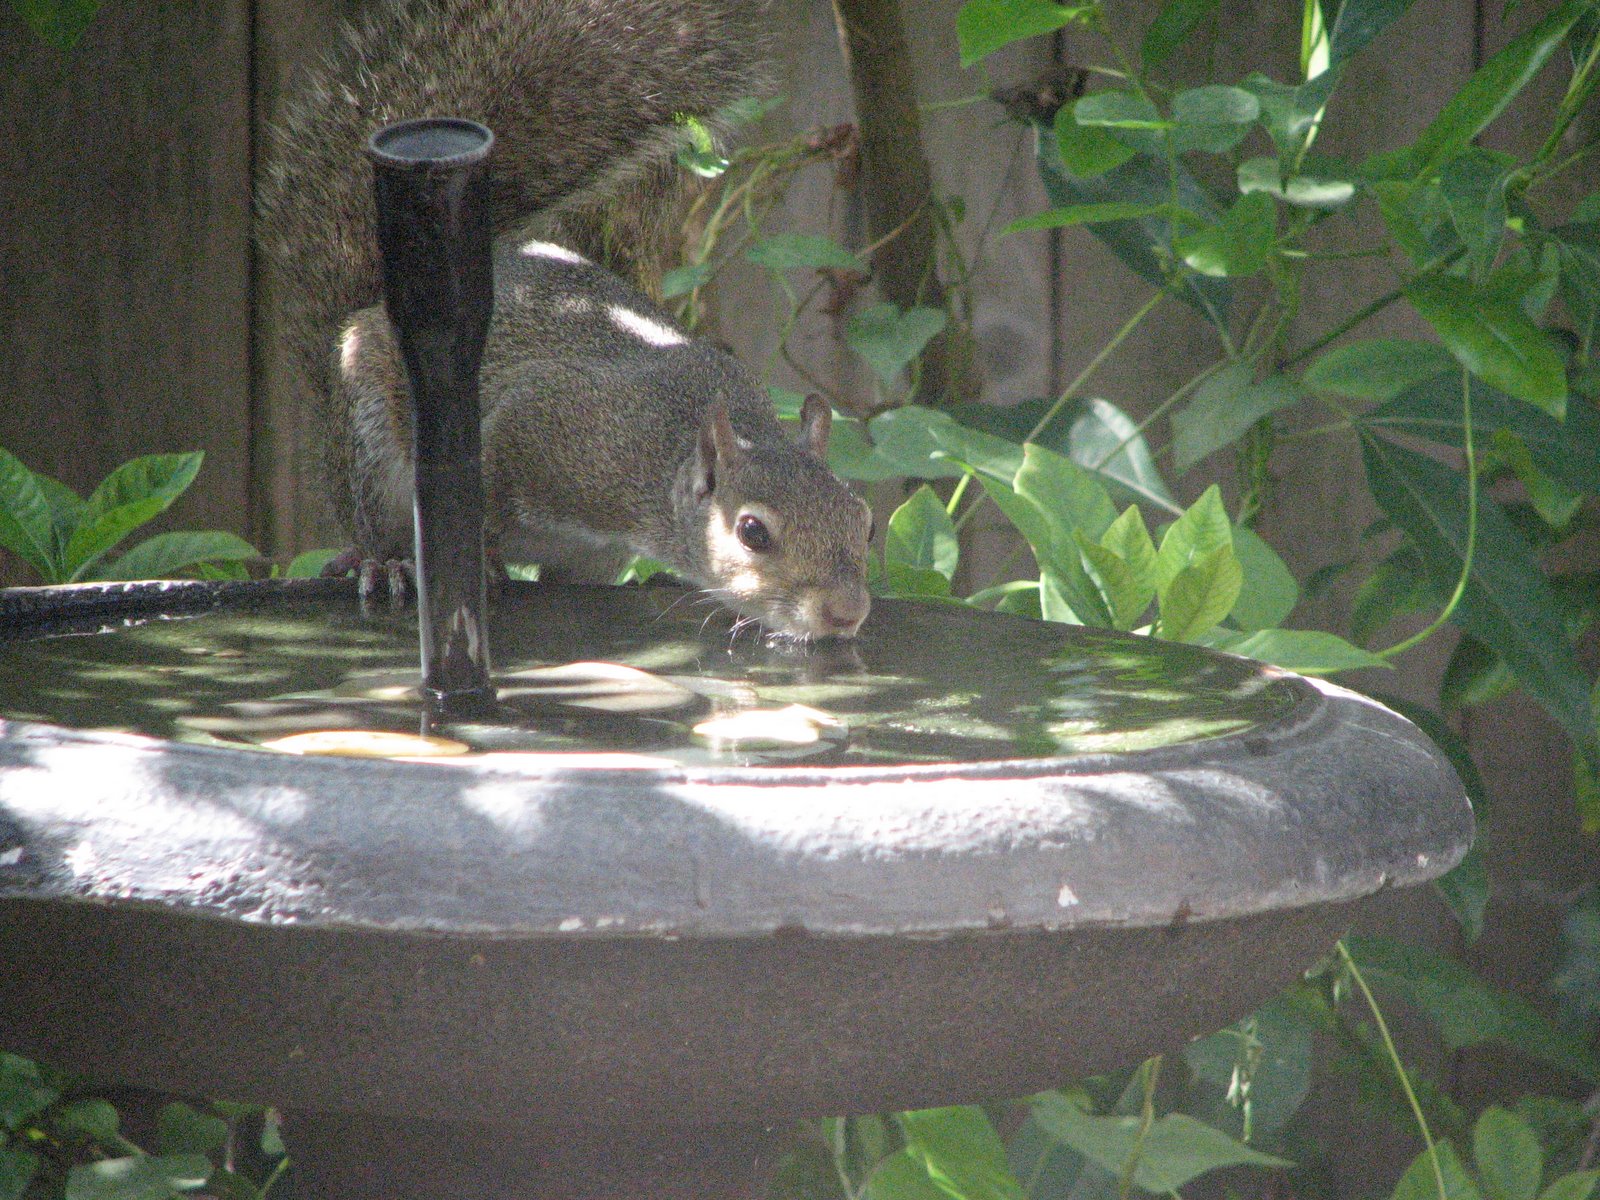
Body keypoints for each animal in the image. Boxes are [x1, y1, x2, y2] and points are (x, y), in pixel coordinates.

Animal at [256, 0, 873, 641]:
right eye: (753, 532)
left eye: (866, 520)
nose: (846, 613)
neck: (662, 453)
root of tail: (369, 310)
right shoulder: (544, 430)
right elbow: (484, 490)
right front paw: (480, 561)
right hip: (370, 438)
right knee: (371, 519)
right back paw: (386, 562)